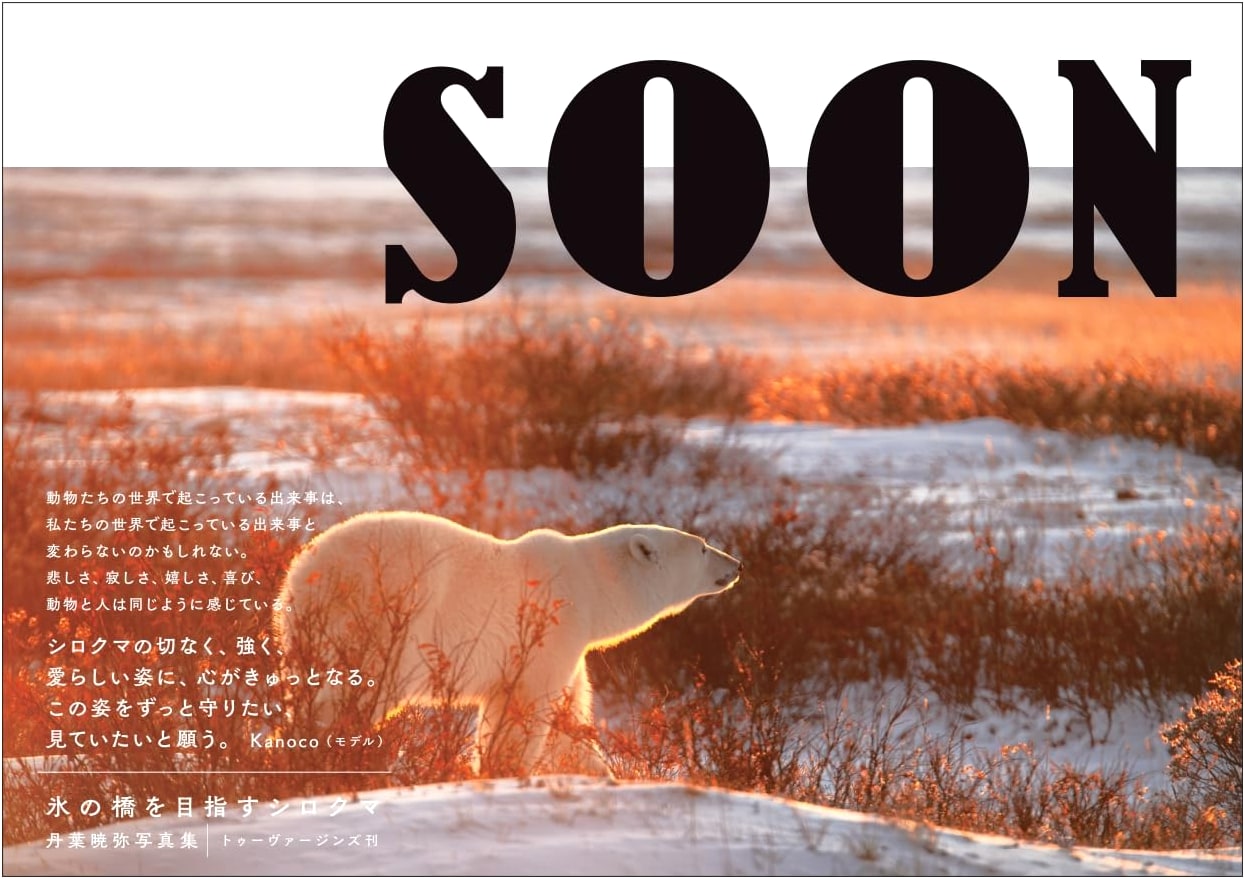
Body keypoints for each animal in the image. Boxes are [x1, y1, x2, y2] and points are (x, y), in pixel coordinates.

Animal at [273, 511, 741, 777]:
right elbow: (525, 709)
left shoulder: (568, 650)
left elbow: (568, 720)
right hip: (386, 616)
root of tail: (311, 573)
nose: (736, 564)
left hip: (300, 632)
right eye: (702, 547)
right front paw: (504, 772)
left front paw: (601, 775)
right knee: (355, 694)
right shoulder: (550, 629)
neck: (590, 585)